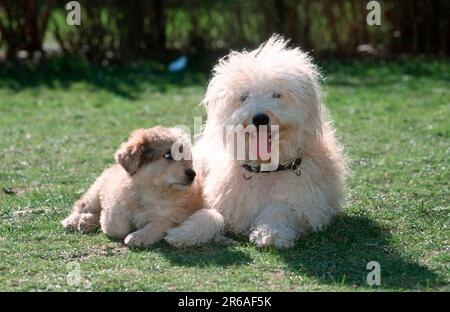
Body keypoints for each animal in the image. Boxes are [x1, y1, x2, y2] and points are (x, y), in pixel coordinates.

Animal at [60, 126, 201, 246]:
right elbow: (115, 226)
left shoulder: (175, 215)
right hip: (96, 191)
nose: (192, 174)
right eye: (167, 155)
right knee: (82, 206)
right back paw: (73, 221)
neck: (152, 189)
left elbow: (157, 225)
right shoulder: (114, 203)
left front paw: (137, 237)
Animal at [166, 35, 348, 249]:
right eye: (244, 97)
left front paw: (269, 232)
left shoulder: (307, 206)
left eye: (277, 94)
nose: (260, 118)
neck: (265, 169)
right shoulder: (222, 200)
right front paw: (183, 233)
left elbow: (280, 209)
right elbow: (212, 215)